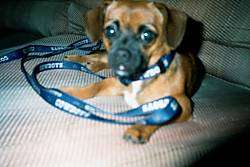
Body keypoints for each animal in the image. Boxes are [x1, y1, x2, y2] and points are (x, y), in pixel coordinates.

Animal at [63, 0, 204, 144]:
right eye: (110, 31)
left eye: (147, 35)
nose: (121, 54)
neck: (142, 76)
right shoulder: (113, 84)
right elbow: (95, 86)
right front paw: (71, 92)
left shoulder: (181, 105)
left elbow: (159, 115)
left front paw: (138, 129)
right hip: (106, 56)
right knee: (95, 55)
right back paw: (74, 58)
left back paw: (91, 65)